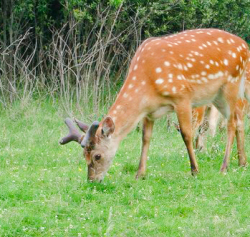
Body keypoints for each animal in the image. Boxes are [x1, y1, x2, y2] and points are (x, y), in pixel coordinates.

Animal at [59, 29, 249, 181]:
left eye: (97, 156)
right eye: (84, 155)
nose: (92, 180)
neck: (147, 84)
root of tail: (245, 45)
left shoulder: (182, 96)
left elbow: (187, 134)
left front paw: (195, 170)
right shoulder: (149, 112)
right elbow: (145, 138)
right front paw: (140, 173)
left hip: (231, 85)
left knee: (231, 124)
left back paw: (224, 166)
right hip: (217, 97)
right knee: (237, 121)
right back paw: (242, 162)